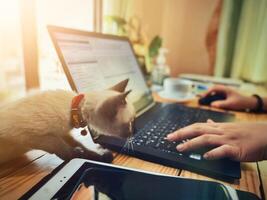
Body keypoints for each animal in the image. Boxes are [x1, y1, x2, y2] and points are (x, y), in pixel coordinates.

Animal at [0, 79, 135, 164]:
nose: (132, 133)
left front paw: (99, 155)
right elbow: (58, 145)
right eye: (130, 123)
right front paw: (76, 154)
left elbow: (79, 144)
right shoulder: (30, 135)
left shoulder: (63, 134)